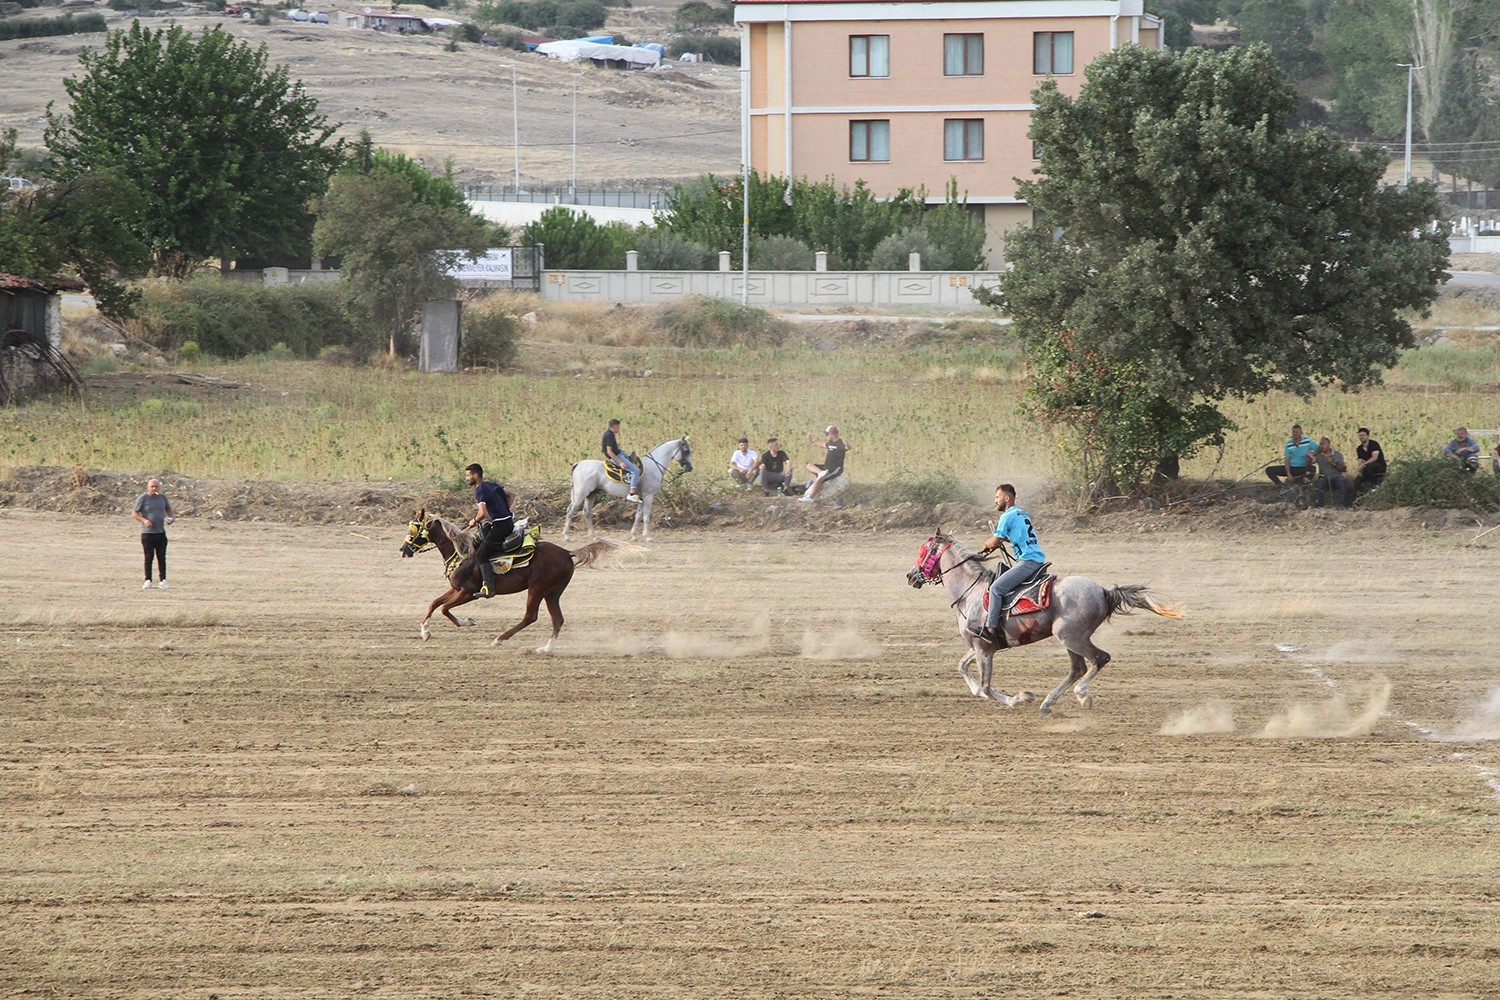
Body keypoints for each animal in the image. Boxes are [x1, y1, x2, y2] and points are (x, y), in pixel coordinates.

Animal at [396, 512, 624, 653]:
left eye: (414, 530)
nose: (403, 550)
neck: (463, 554)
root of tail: (568, 553)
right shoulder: (456, 589)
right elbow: (434, 603)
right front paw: (425, 632)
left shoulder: (468, 592)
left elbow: (444, 609)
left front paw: (468, 621)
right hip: (552, 592)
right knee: (557, 619)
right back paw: (546, 649)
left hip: (537, 589)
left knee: (531, 617)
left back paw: (499, 639)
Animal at [900, 527, 1182, 716]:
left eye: (923, 551)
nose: (911, 575)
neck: (970, 592)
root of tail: (1103, 591)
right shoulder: (981, 646)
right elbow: (963, 668)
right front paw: (984, 692)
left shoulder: (983, 648)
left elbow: (987, 687)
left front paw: (1019, 698)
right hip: (1071, 640)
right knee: (1077, 668)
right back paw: (1049, 703)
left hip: (1071, 636)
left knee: (1099, 659)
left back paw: (1081, 695)